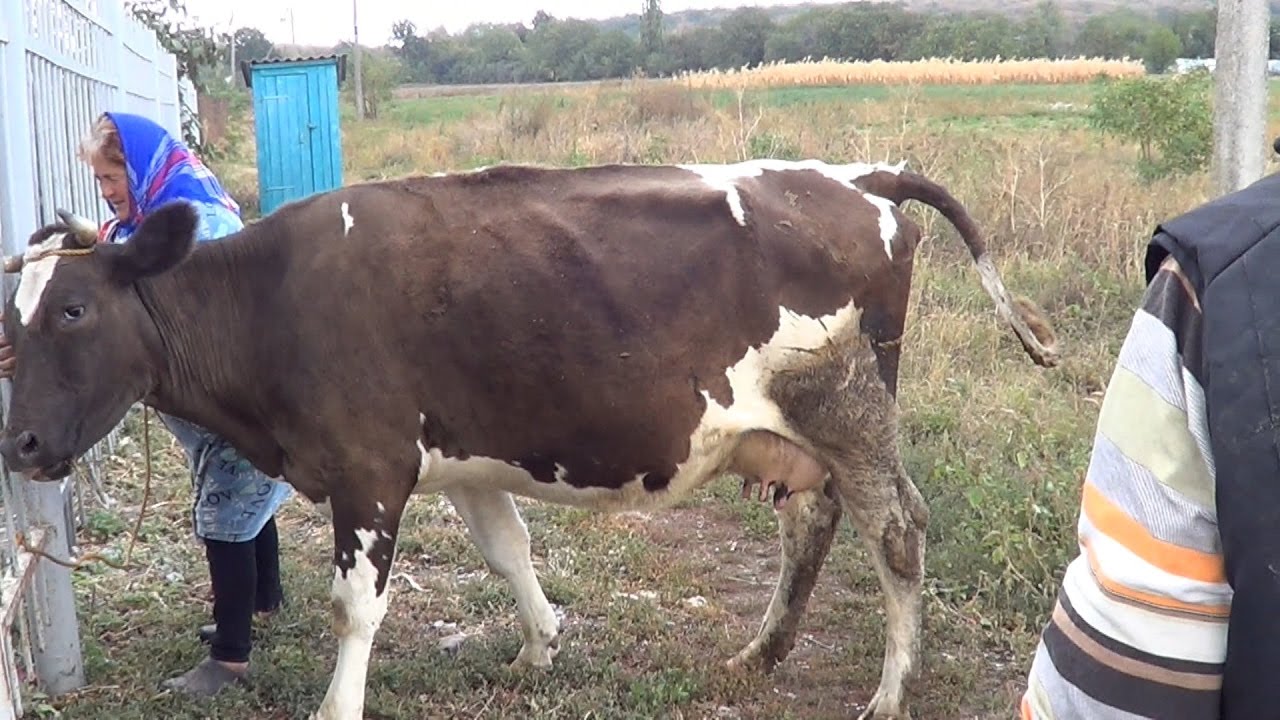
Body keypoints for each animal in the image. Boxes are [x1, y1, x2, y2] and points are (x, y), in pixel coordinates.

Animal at [0, 158, 1057, 720]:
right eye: (12, 322)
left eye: (74, 310)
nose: (21, 447)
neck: (271, 300)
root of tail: (850, 174)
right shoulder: (464, 459)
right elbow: (509, 553)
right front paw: (540, 648)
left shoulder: (370, 469)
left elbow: (355, 610)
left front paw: (339, 705)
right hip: (805, 433)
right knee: (813, 525)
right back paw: (760, 655)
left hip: (847, 411)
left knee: (897, 532)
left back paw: (890, 691)